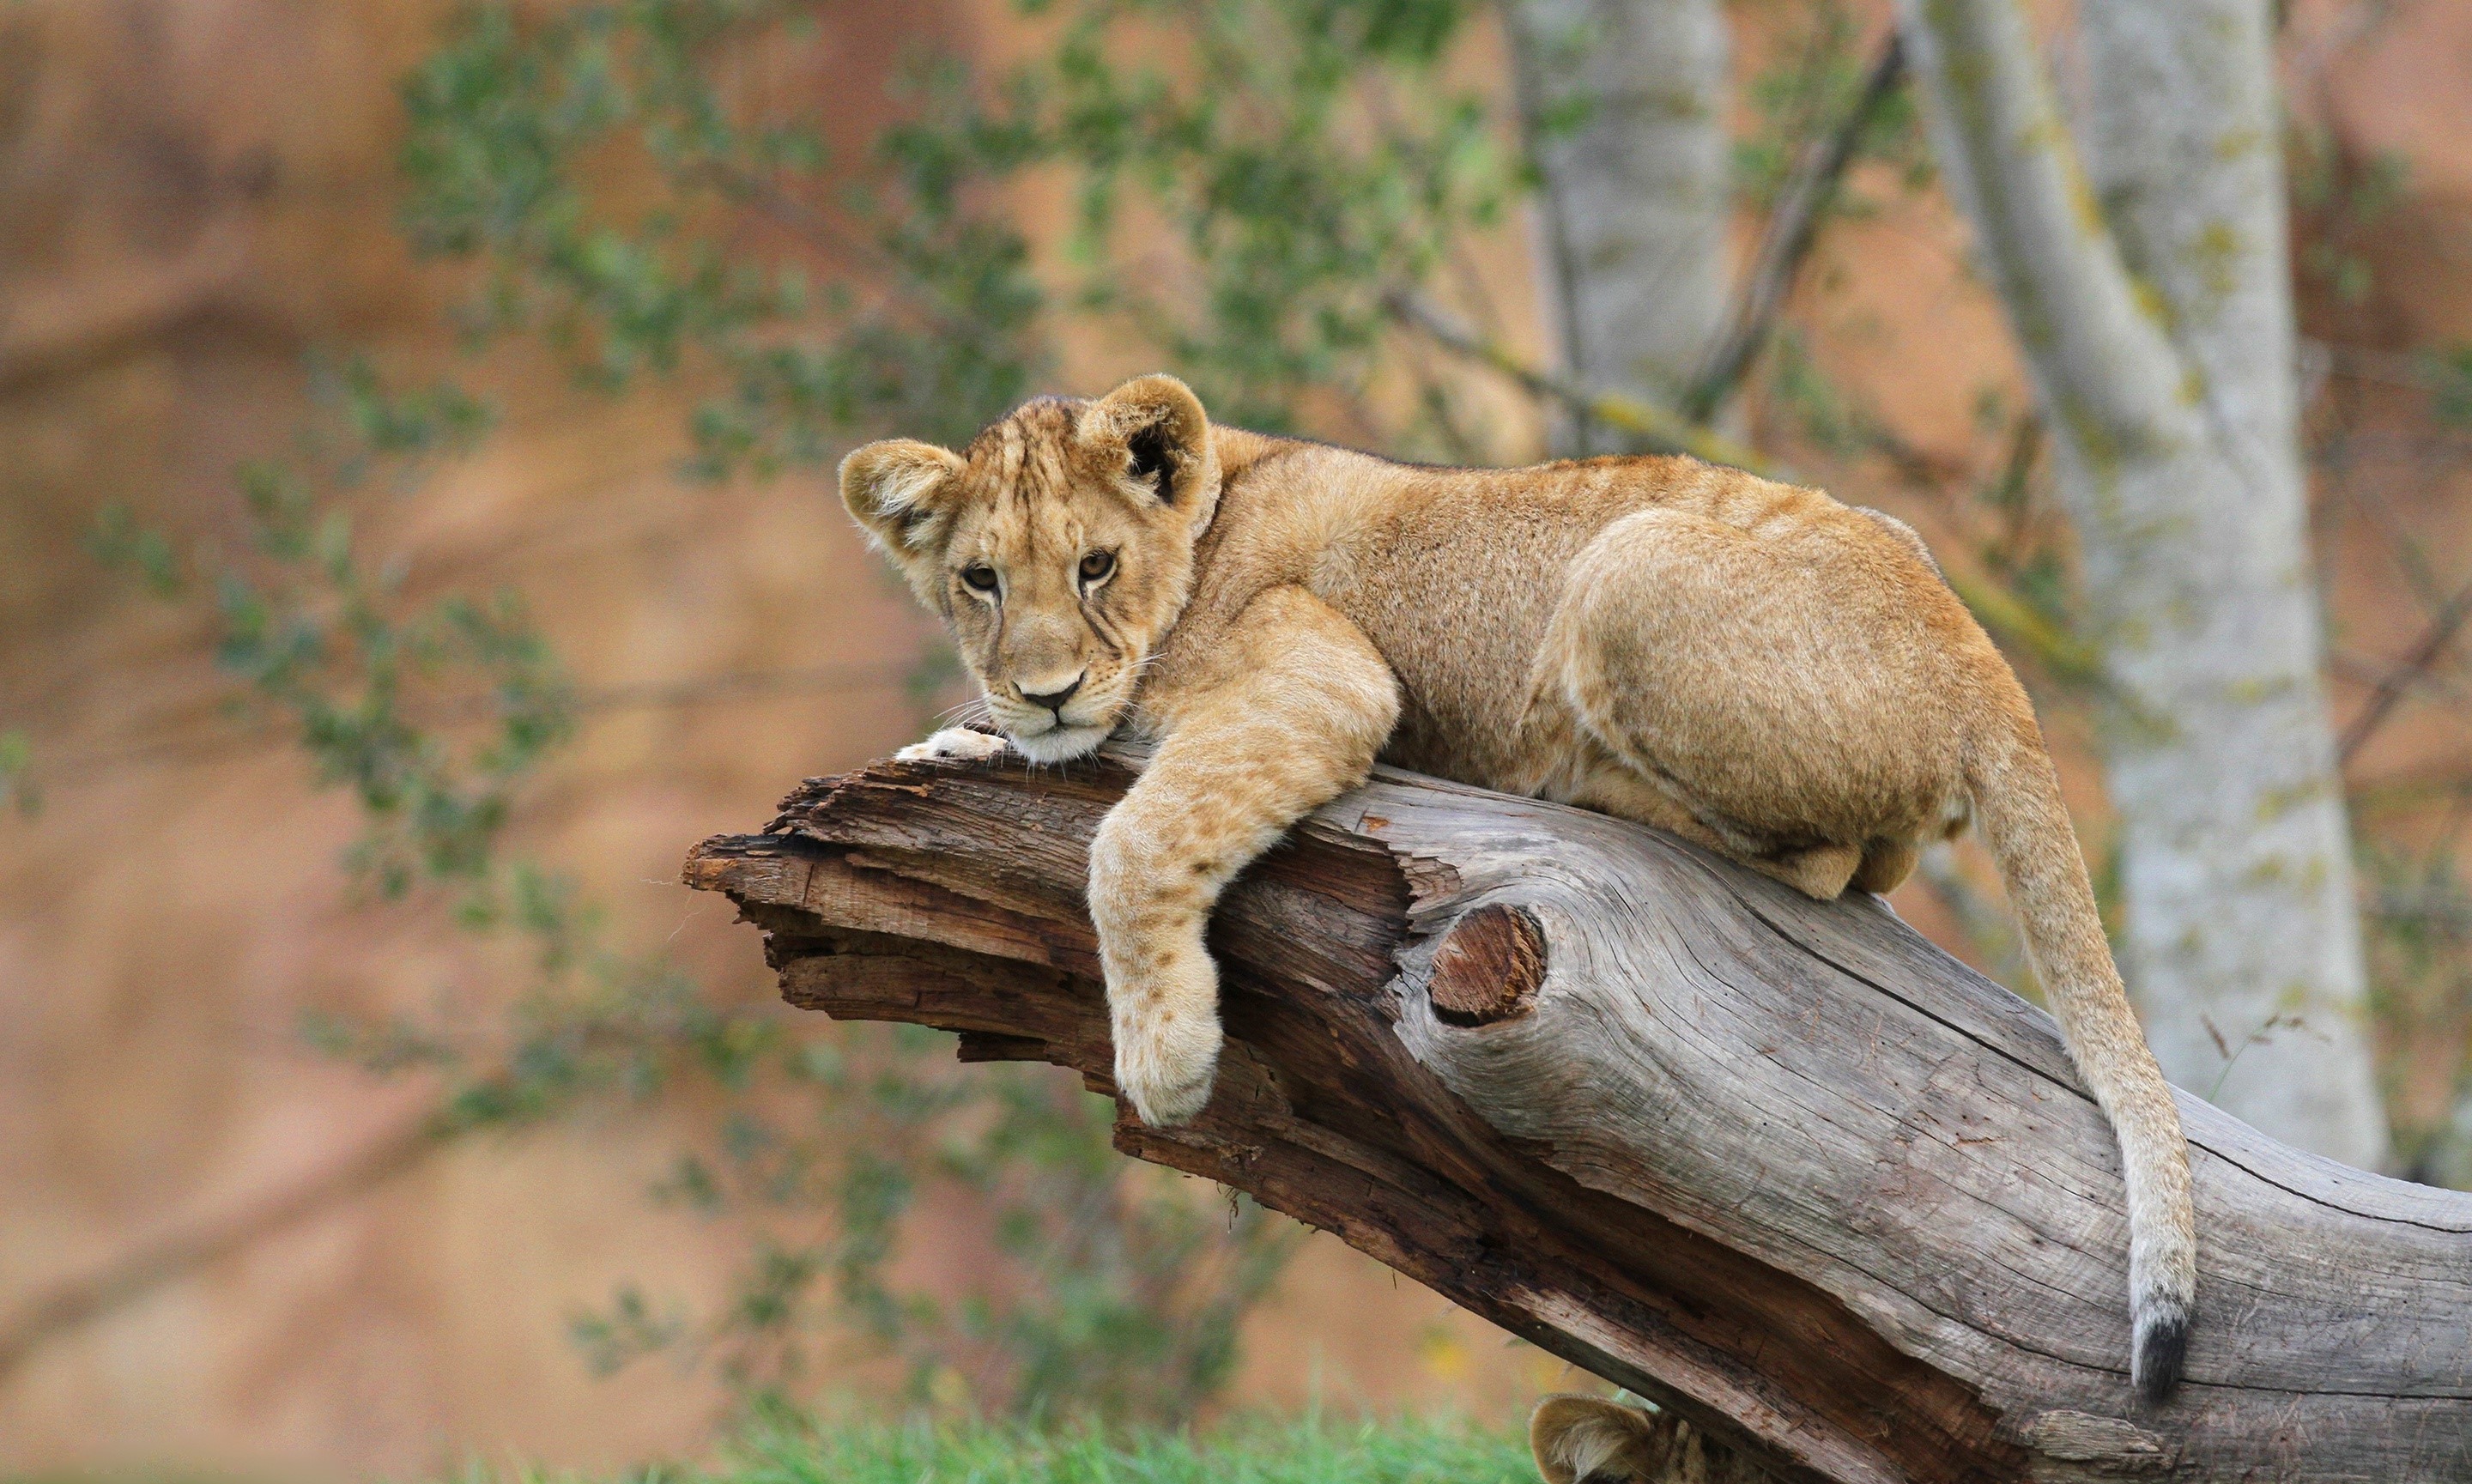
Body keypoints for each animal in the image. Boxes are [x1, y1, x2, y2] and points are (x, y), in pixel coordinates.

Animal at [839, 373, 2195, 1403]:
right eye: (980, 581)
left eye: (1096, 566)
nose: (1047, 691)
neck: (1213, 525)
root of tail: (1979, 656)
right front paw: (957, 741)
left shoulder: (1324, 682)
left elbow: (1131, 842)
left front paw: (1165, 1061)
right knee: (1882, 858)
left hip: (1627, 566)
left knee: (1829, 864)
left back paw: (1594, 787)